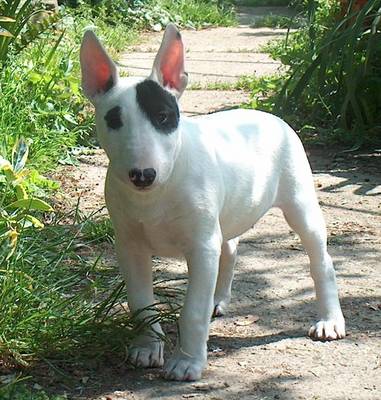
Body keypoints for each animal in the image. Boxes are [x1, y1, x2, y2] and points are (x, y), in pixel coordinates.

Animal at [79, 24, 344, 382]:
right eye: (113, 120)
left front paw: (187, 363)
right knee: (229, 250)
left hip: (300, 204)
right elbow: (141, 303)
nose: (143, 175)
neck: (158, 194)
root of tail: (267, 116)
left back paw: (330, 321)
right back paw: (218, 300)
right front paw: (147, 348)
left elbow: (193, 310)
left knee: (321, 261)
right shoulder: (130, 246)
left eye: (164, 117)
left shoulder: (200, 246)